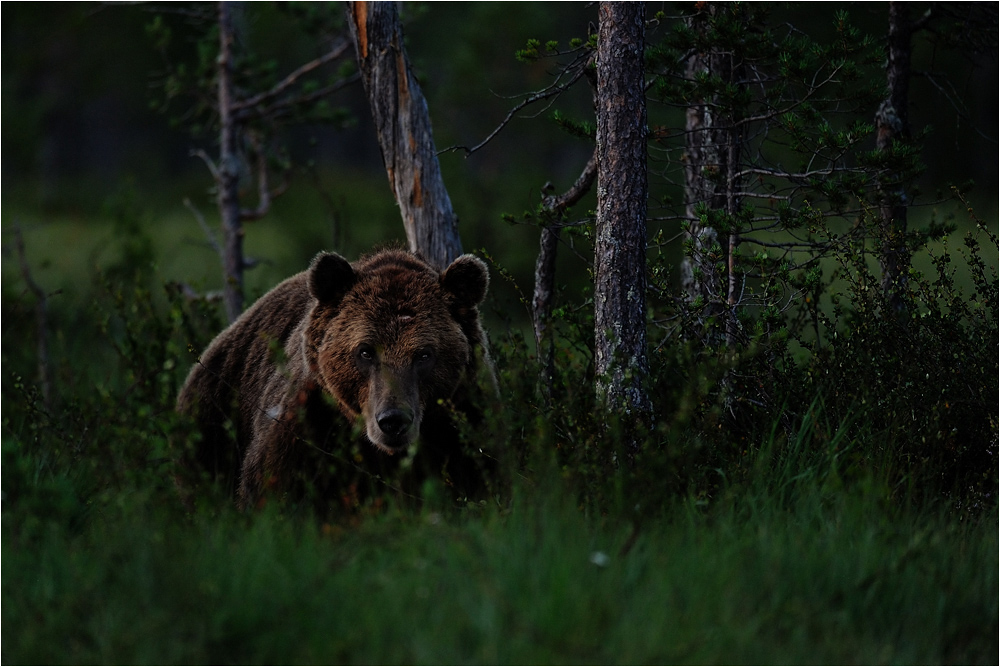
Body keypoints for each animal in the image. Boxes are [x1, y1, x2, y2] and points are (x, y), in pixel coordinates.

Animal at [178, 249, 498, 512]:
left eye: (424, 354)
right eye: (365, 351)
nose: (393, 420)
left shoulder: (462, 422)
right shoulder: (306, 419)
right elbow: (272, 484)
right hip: (213, 415)